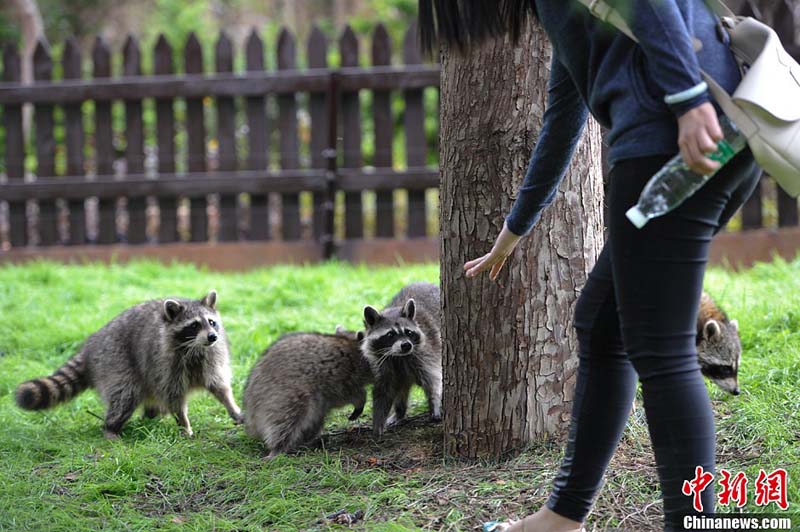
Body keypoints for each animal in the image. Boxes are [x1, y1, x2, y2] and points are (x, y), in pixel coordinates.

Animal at [14, 290, 241, 436]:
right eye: (194, 325)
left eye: (211, 322)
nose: (212, 336)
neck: (194, 347)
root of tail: (92, 345)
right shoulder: (166, 364)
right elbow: (174, 397)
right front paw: (184, 424)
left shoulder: (212, 358)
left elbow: (219, 386)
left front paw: (232, 407)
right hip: (115, 361)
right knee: (125, 395)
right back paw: (111, 428)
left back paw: (148, 418)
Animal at [244, 324, 372, 458]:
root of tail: (252, 418)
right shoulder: (342, 376)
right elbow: (351, 394)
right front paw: (361, 400)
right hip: (284, 397)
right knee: (285, 422)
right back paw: (279, 447)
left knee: (315, 420)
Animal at [362, 280, 444, 438]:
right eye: (390, 335)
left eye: (408, 332)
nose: (406, 345)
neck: (398, 356)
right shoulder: (380, 364)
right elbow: (383, 392)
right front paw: (378, 422)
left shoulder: (426, 353)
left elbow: (433, 379)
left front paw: (435, 402)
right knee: (401, 390)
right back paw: (400, 411)